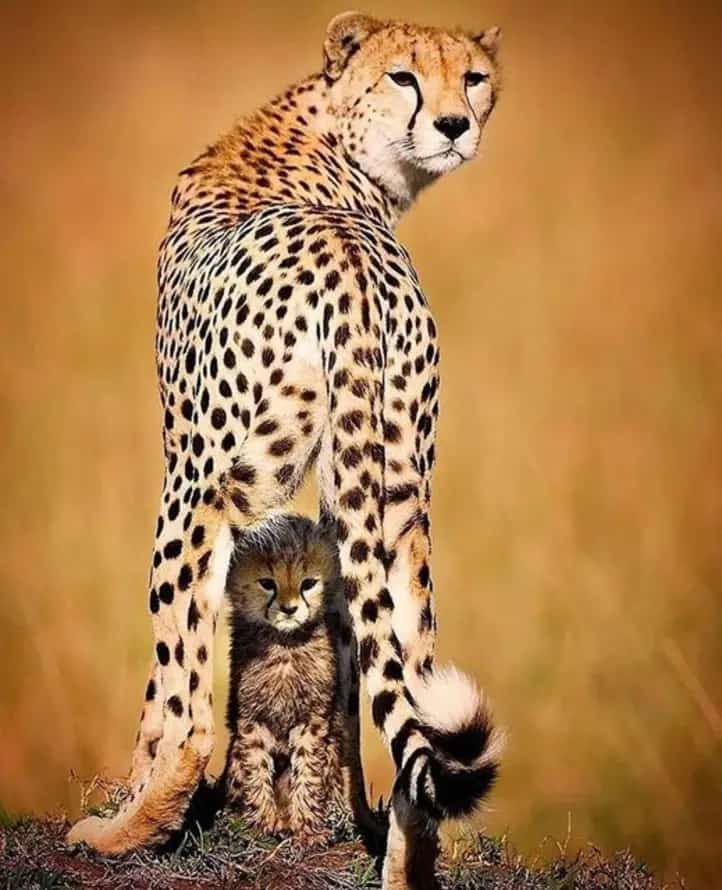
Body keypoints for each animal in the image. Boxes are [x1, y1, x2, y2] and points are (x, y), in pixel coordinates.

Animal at [67, 12, 505, 889]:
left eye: (473, 78)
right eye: (405, 76)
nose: (453, 124)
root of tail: (347, 259)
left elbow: (167, 690)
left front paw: (131, 801)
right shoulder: (344, 501)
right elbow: (353, 661)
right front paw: (347, 809)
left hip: (201, 487)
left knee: (189, 707)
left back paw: (122, 832)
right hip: (399, 493)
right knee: (411, 672)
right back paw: (404, 862)